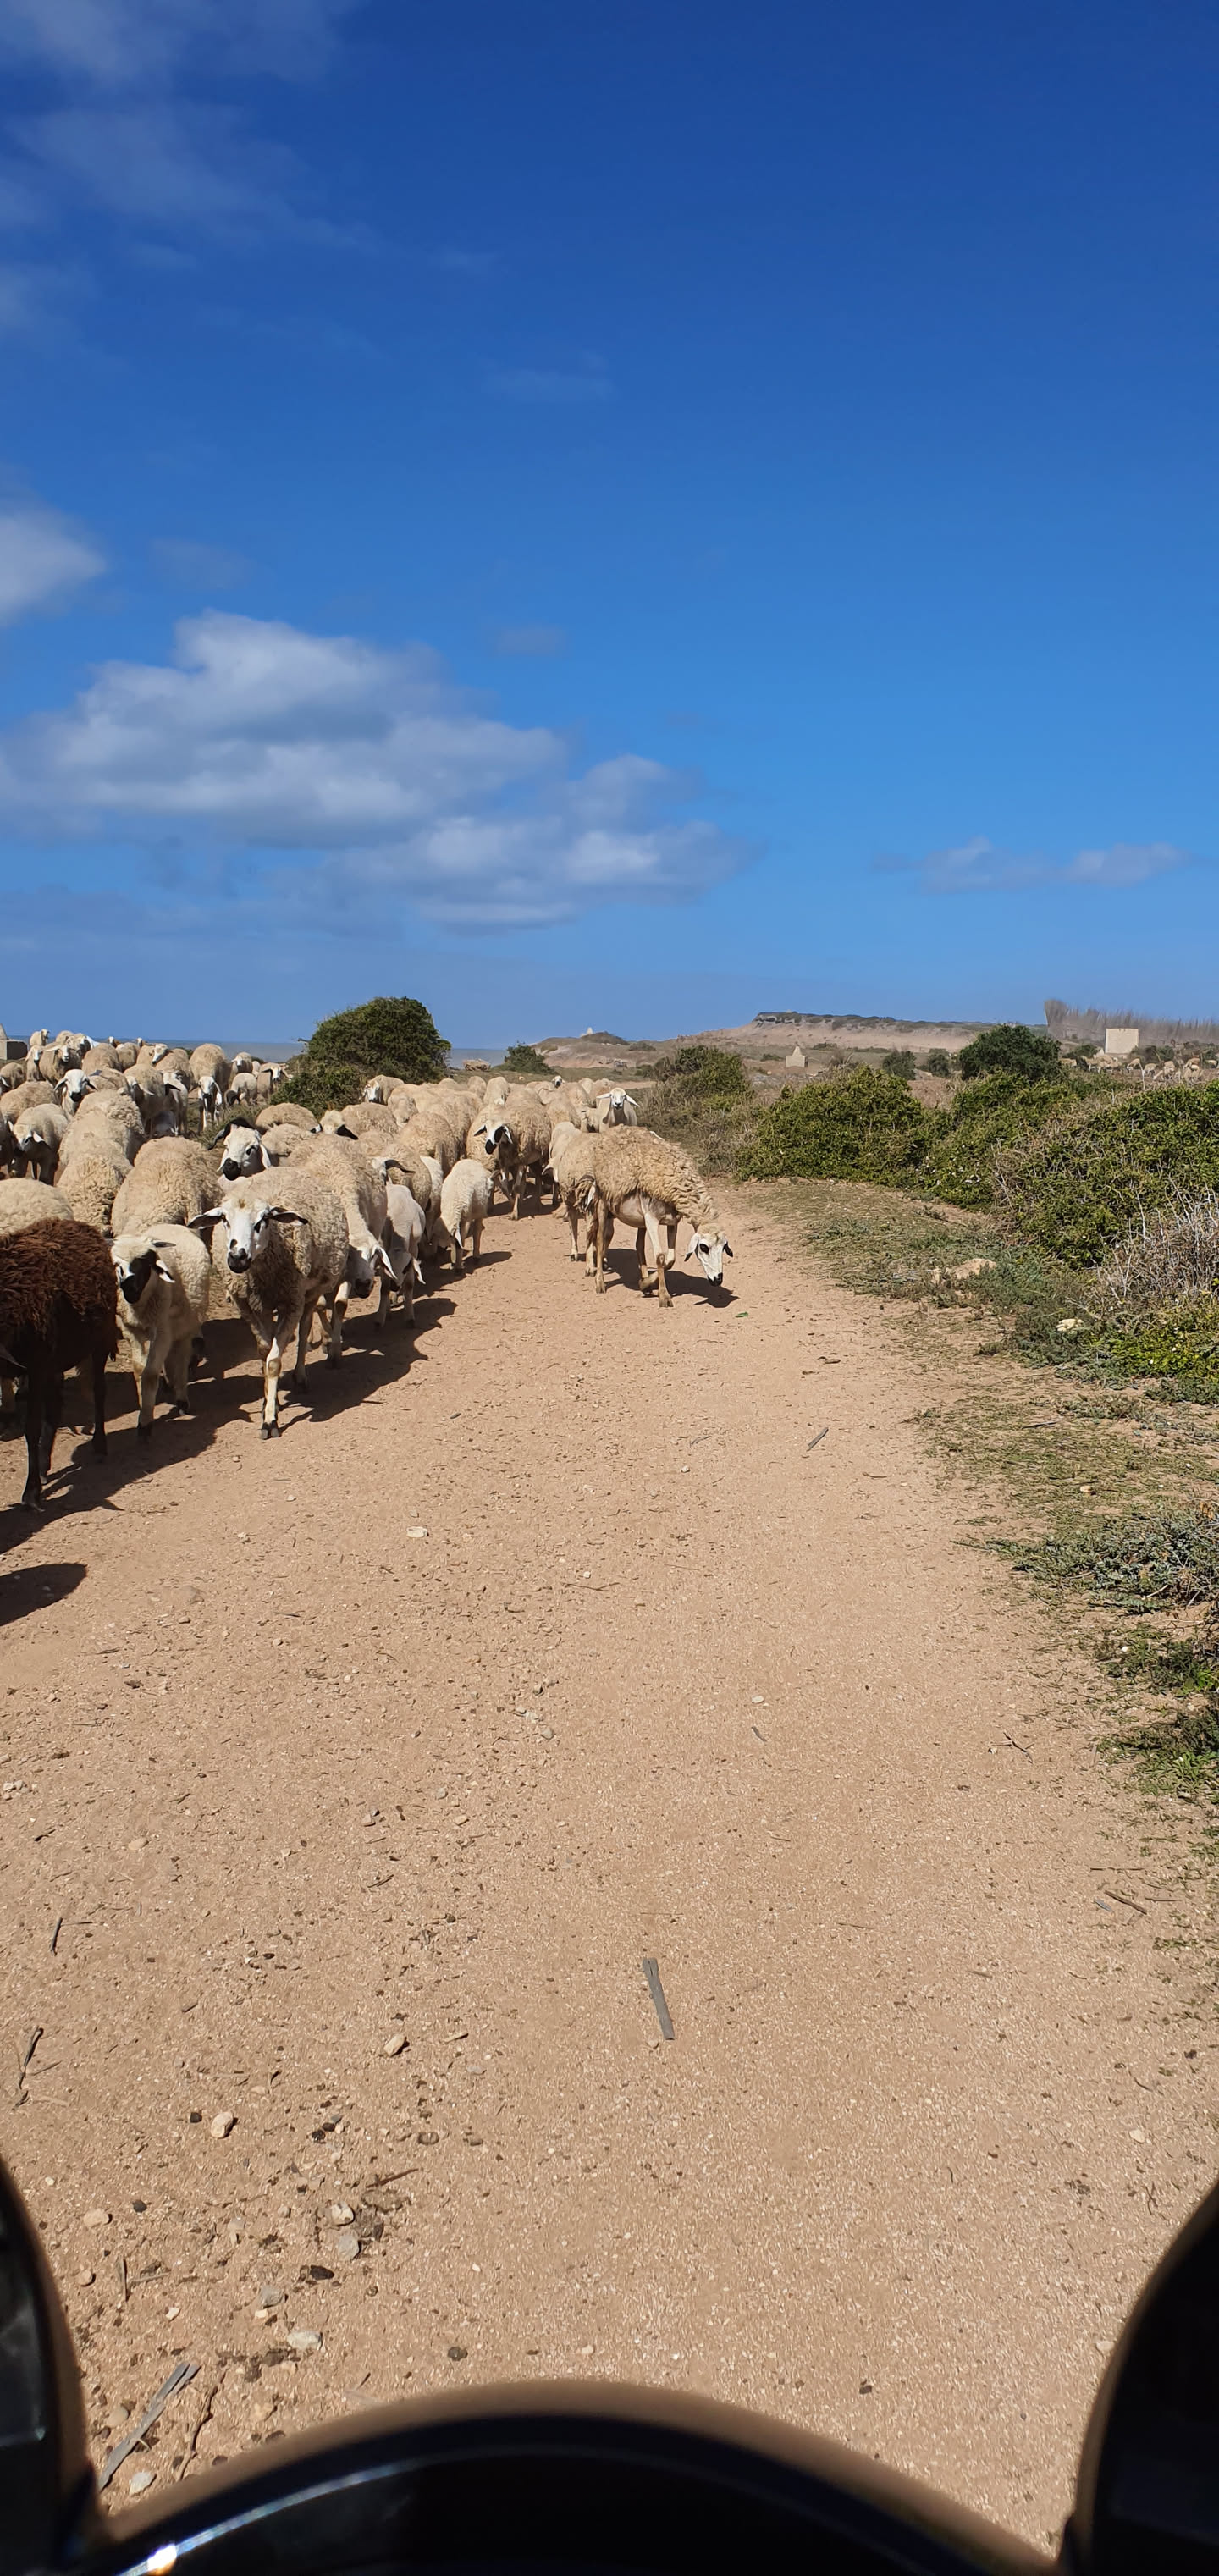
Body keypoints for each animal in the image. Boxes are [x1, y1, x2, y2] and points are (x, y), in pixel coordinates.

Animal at [0, 1220, 118, 1508]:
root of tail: (80, 1225)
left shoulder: (36, 1367)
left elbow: (31, 1427)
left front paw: (31, 1494)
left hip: (100, 1339)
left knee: (99, 1392)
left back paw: (99, 1445)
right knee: (55, 1408)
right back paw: (43, 1466)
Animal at [110, 1224, 212, 1439]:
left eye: (144, 1263)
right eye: (116, 1265)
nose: (129, 1290)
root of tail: (171, 1225)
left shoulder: (164, 1330)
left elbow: (150, 1374)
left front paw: (145, 1425)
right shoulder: (132, 1331)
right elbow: (139, 1370)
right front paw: (144, 1405)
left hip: (185, 1324)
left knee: (181, 1358)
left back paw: (181, 1397)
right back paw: (168, 1383)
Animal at [190, 1173, 348, 1435]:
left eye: (264, 1219)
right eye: (224, 1219)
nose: (237, 1257)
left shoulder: (292, 1302)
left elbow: (274, 1361)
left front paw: (270, 1421)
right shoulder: (246, 1304)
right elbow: (265, 1352)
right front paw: (268, 1402)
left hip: (310, 1292)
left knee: (304, 1329)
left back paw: (300, 1376)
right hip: (266, 1305)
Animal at [436, 1158, 494, 1273]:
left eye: (448, 1235)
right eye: (435, 1235)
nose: (440, 1252)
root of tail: (471, 1160)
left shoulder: (466, 1220)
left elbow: (460, 1243)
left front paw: (458, 1267)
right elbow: (455, 1242)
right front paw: (454, 1263)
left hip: (479, 1211)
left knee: (477, 1232)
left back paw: (476, 1256)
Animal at [583, 1127, 733, 1307]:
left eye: (724, 1248)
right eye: (704, 1247)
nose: (718, 1280)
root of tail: (613, 1130)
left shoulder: (672, 1222)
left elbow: (671, 1259)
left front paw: (644, 1283)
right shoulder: (652, 1219)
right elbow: (660, 1257)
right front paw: (664, 1296)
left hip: (639, 1221)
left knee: (639, 1246)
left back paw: (645, 1284)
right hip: (603, 1203)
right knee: (599, 1240)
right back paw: (600, 1282)